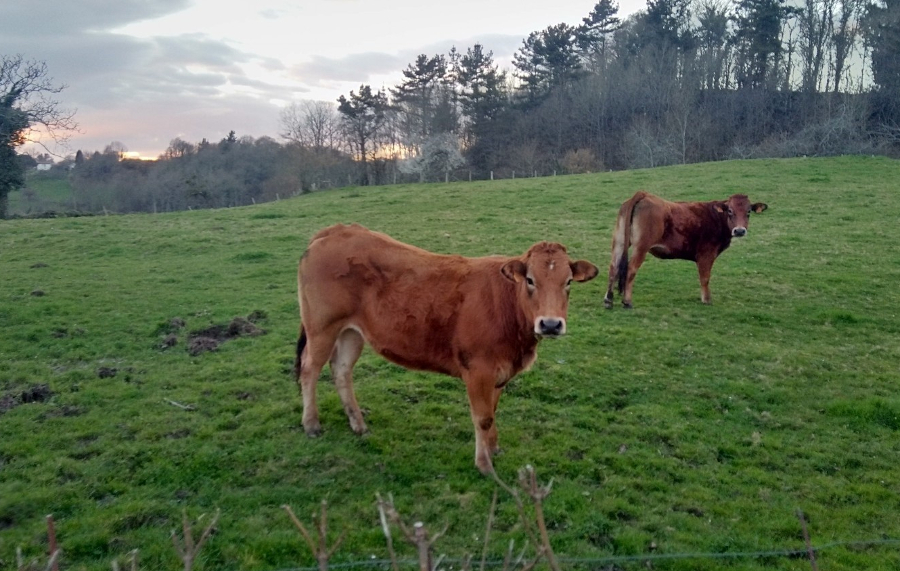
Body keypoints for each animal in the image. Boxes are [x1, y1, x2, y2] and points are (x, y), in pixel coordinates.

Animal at [295, 223, 599, 474]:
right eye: (530, 280)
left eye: (568, 282)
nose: (550, 324)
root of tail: (336, 230)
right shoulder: (478, 371)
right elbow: (483, 417)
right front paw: (484, 465)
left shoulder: (500, 372)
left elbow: (493, 411)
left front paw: (494, 448)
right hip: (322, 327)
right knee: (309, 369)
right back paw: (311, 424)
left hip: (351, 332)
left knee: (341, 370)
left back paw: (358, 425)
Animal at [604, 191, 768, 308]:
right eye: (730, 211)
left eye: (748, 212)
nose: (739, 231)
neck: (717, 218)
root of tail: (643, 194)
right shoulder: (706, 254)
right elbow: (705, 277)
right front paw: (706, 299)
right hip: (641, 246)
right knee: (631, 269)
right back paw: (627, 301)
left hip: (619, 241)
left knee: (613, 267)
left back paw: (608, 300)